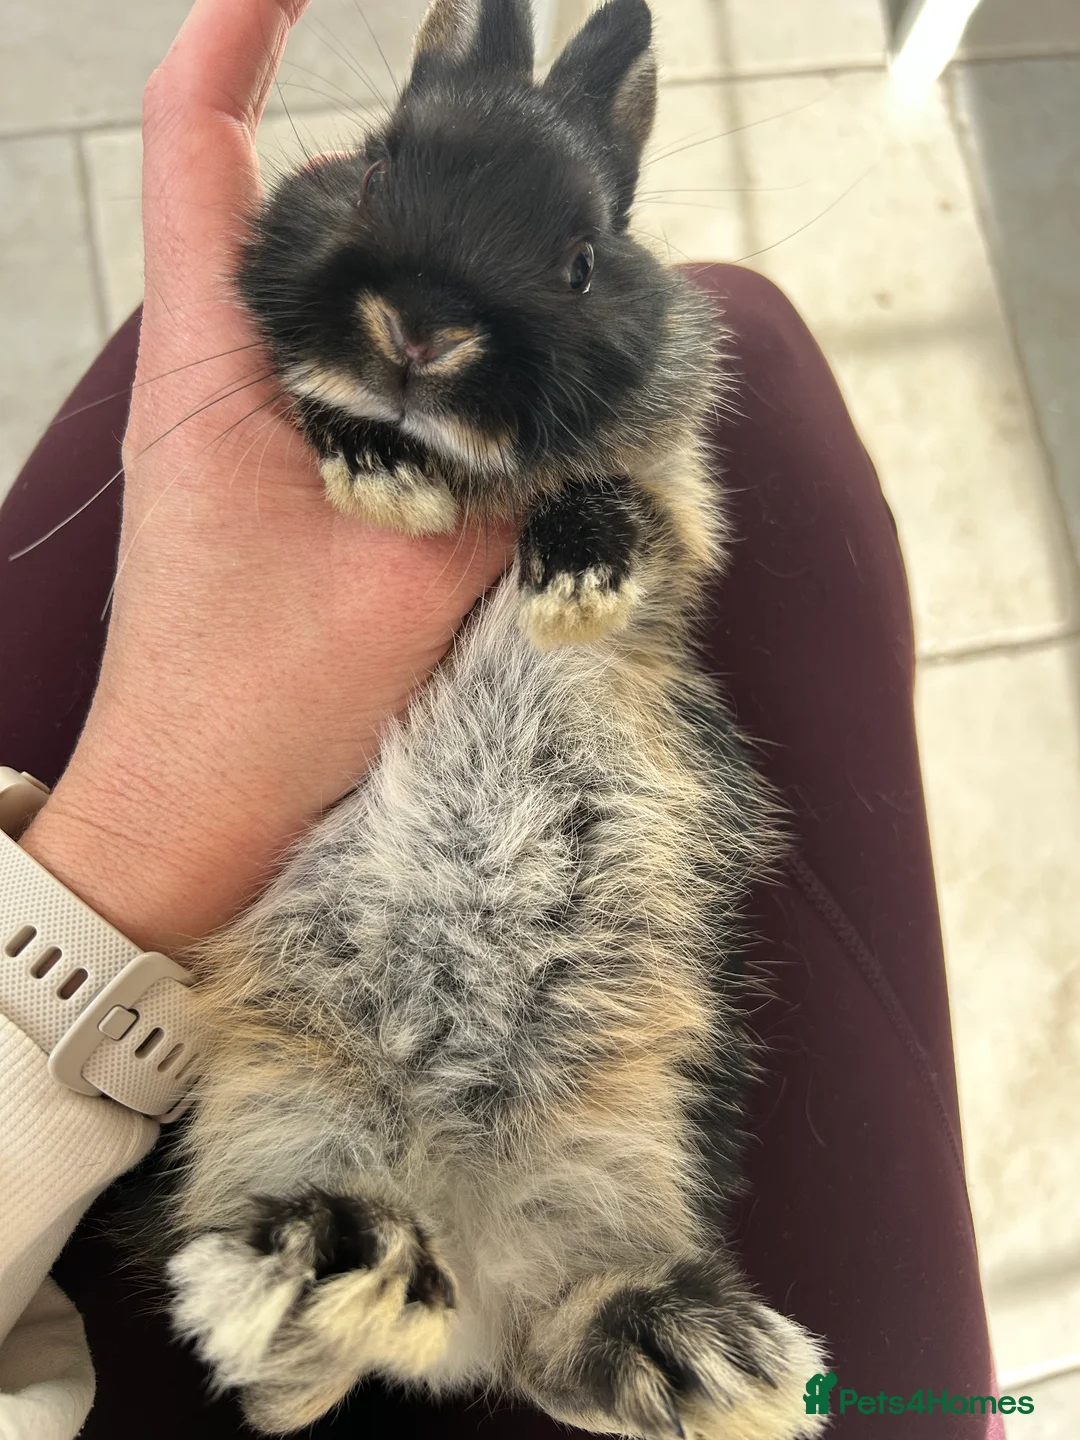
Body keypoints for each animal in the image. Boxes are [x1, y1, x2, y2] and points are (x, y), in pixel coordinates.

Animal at [164, 1, 829, 1436]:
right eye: (370, 172)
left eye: (583, 258)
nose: (421, 330)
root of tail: (466, 1234)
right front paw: (384, 478)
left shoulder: (673, 516)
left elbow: (637, 523)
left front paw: (566, 588)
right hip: (275, 1103)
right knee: (295, 1371)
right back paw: (324, 1269)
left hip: (630, 1134)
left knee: (550, 1335)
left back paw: (702, 1357)